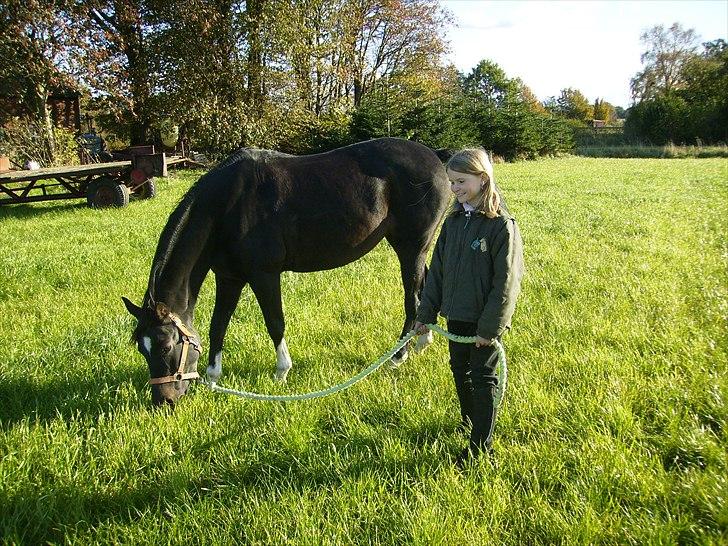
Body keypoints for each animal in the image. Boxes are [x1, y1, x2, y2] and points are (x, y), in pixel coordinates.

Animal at [123, 138, 452, 406]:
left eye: (166, 345)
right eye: (142, 348)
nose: (163, 401)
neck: (227, 205)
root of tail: (436, 156)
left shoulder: (265, 275)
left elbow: (275, 323)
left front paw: (281, 373)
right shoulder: (229, 277)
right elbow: (218, 325)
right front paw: (213, 377)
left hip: (412, 248)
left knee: (412, 299)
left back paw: (399, 356)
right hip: (411, 248)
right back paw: (422, 342)